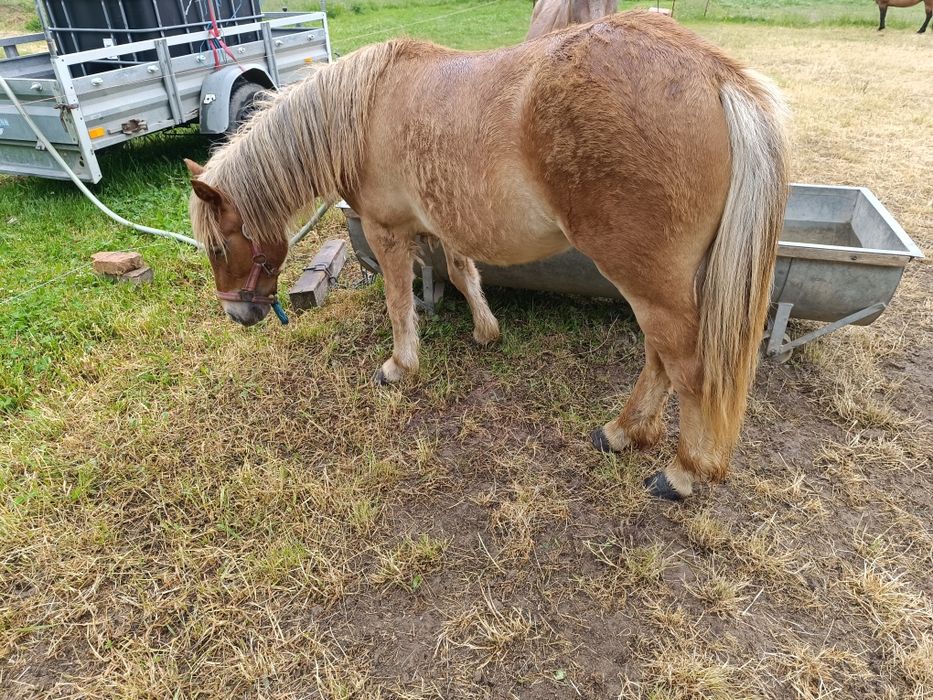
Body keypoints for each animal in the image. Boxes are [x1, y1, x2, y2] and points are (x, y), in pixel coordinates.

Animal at [186, 12, 789, 501]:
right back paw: (624, 432)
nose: (237, 312)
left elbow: (398, 303)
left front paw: (400, 366)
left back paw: (681, 471)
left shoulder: (387, 233)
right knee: (660, 358)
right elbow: (462, 273)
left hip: (648, 280)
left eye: (217, 245)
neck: (364, 108)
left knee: (684, 364)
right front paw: (485, 331)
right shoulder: (445, 222)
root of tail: (715, 73)